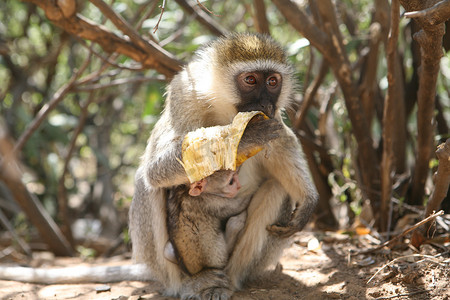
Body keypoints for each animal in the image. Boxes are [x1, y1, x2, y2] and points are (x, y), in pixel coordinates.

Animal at [129, 31, 320, 298]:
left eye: (272, 82)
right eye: (250, 80)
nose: (265, 104)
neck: (225, 111)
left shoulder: (273, 118)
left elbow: (283, 143)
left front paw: (309, 198)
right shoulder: (185, 93)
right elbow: (155, 169)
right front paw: (246, 137)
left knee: (277, 188)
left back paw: (230, 277)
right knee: (146, 183)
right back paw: (198, 281)